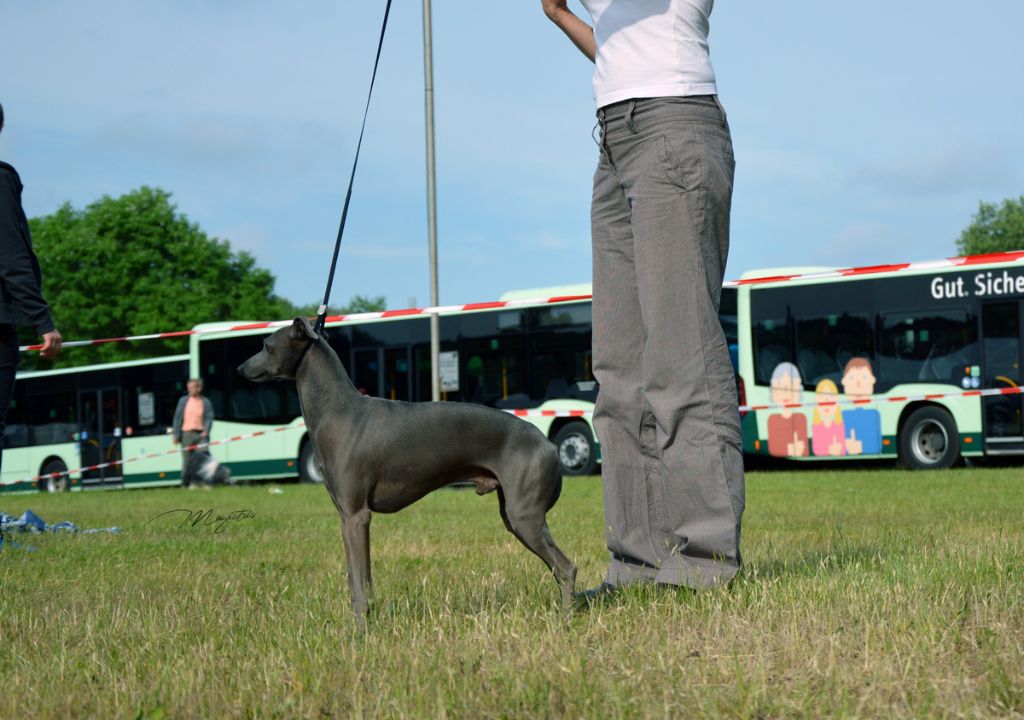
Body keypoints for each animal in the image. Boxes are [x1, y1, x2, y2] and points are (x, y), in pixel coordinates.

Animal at [236, 317, 581, 626]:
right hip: (514, 516)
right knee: (557, 567)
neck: (338, 410)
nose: (239, 370)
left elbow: (359, 584)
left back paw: (564, 621)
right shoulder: (348, 518)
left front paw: (359, 633)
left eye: (266, 345)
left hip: (524, 516)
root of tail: (548, 443)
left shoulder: (355, 516)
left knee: (566, 567)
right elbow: (359, 578)